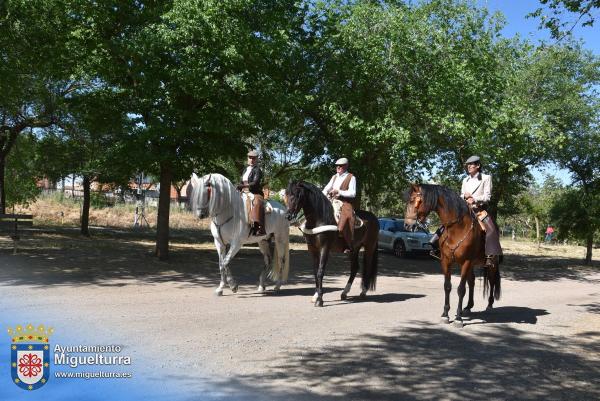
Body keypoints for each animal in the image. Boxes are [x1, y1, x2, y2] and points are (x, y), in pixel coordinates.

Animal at [404, 183, 502, 326]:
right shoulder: (446, 261)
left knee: (492, 280)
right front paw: (445, 314)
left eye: (413, 201)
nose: (407, 225)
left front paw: (458, 318)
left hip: (491, 264)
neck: (457, 229)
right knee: (472, 282)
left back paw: (489, 305)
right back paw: (468, 307)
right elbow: (447, 286)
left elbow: (461, 289)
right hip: (472, 265)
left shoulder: (466, 262)